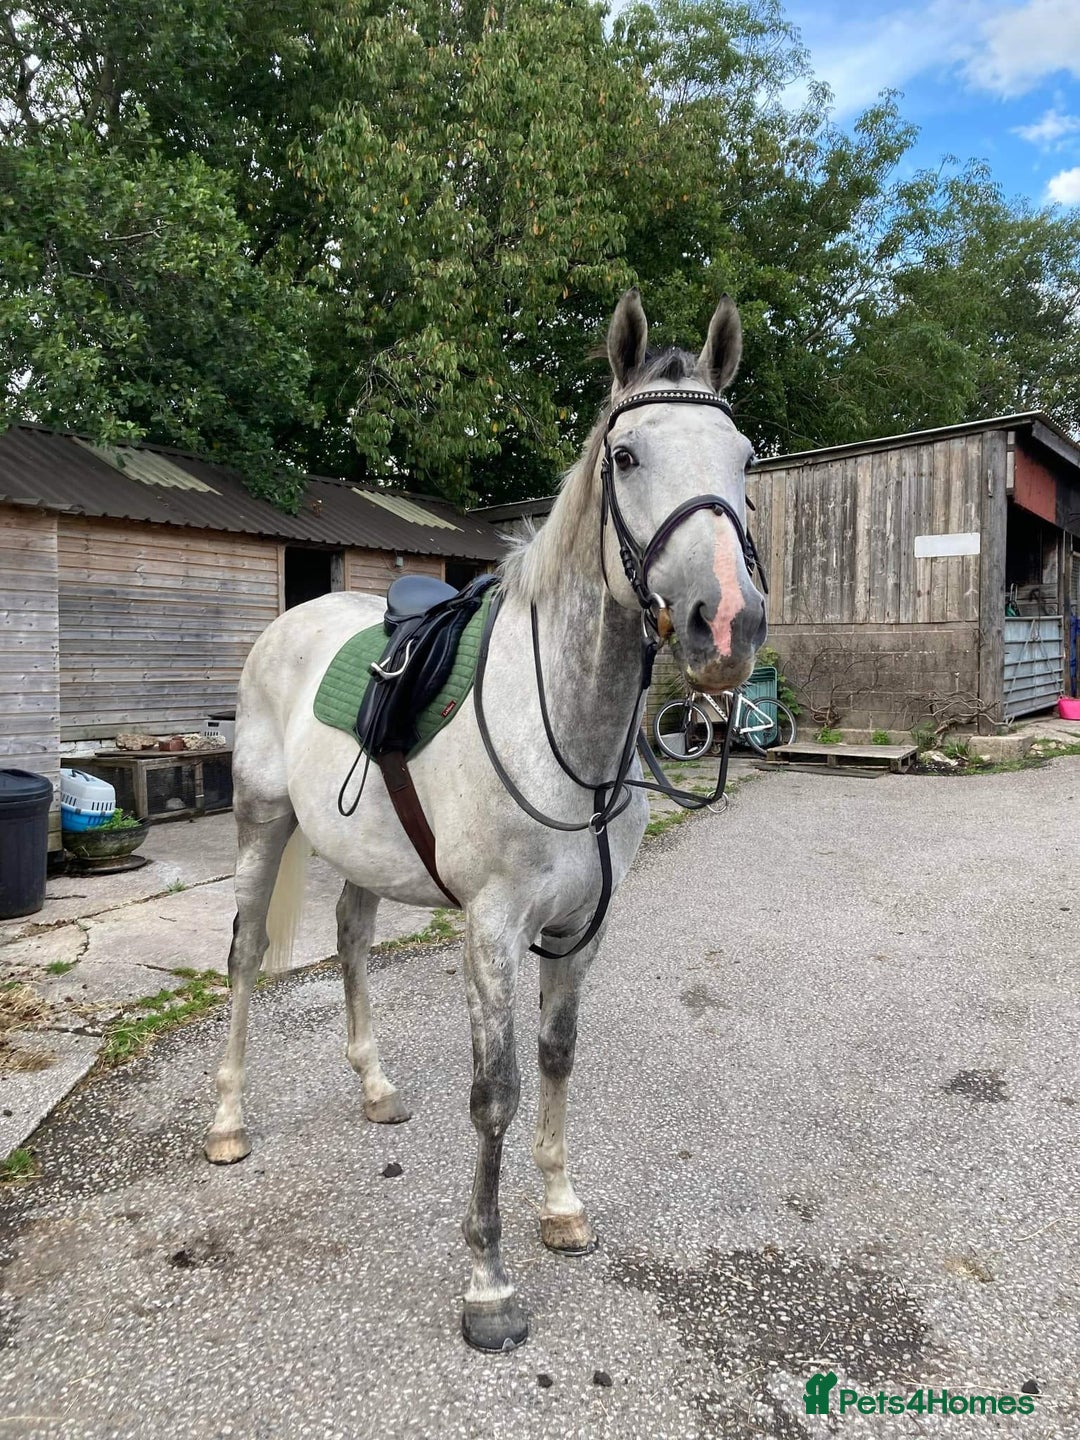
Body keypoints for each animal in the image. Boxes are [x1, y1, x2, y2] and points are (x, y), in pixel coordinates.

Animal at [203, 289, 767, 1352]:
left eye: (746, 460)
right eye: (626, 456)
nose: (727, 626)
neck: (561, 727)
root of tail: (290, 624)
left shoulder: (582, 926)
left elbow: (556, 1059)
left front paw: (562, 1210)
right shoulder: (493, 927)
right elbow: (495, 1091)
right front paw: (488, 1283)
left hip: (360, 853)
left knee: (348, 939)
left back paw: (376, 1090)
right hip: (262, 825)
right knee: (248, 955)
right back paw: (227, 1123)